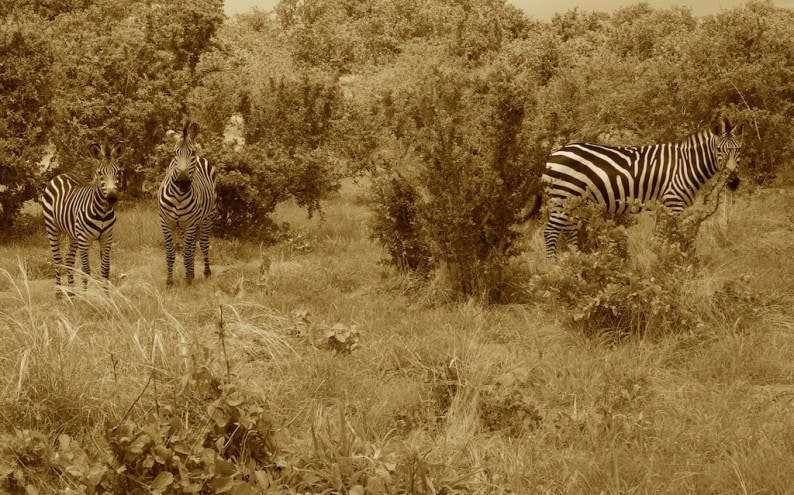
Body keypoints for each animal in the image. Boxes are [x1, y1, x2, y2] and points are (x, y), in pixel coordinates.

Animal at [41, 140, 124, 294]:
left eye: (118, 172)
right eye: (99, 173)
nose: (112, 198)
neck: (102, 212)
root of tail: (61, 175)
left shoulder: (107, 238)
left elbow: (105, 269)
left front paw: (107, 296)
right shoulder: (84, 239)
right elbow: (86, 270)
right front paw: (85, 298)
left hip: (73, 234)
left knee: (69, 260)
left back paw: (72, 293)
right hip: (52, 228)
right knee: (57, 260)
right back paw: (59, 293)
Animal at [158, 119, 217, 286]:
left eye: (192, 152)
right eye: (174, 153)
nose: (183, 183)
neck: (178, 196)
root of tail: (201, 159)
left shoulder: (190, 223)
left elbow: (187, 252)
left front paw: (187, 280)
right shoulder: (166, 223)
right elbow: (171, 253)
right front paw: (170, 281)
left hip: (206, 217)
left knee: (202, 244)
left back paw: (204, 273)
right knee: (190, 247)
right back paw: (191, 273)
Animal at [524, 119, 744, 260]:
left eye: (739, 150)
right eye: (719, 150)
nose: (733, 181)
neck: (686, 164)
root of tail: (552, 153)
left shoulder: (664, 205)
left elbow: (659, 237)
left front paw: (656, 260)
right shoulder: (673, 202)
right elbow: (673, 235)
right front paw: (670, 262)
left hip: (575, 201)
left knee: (569, 231)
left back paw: (581, 265)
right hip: (563, 197)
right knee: (551, 232)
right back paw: (556, 270)